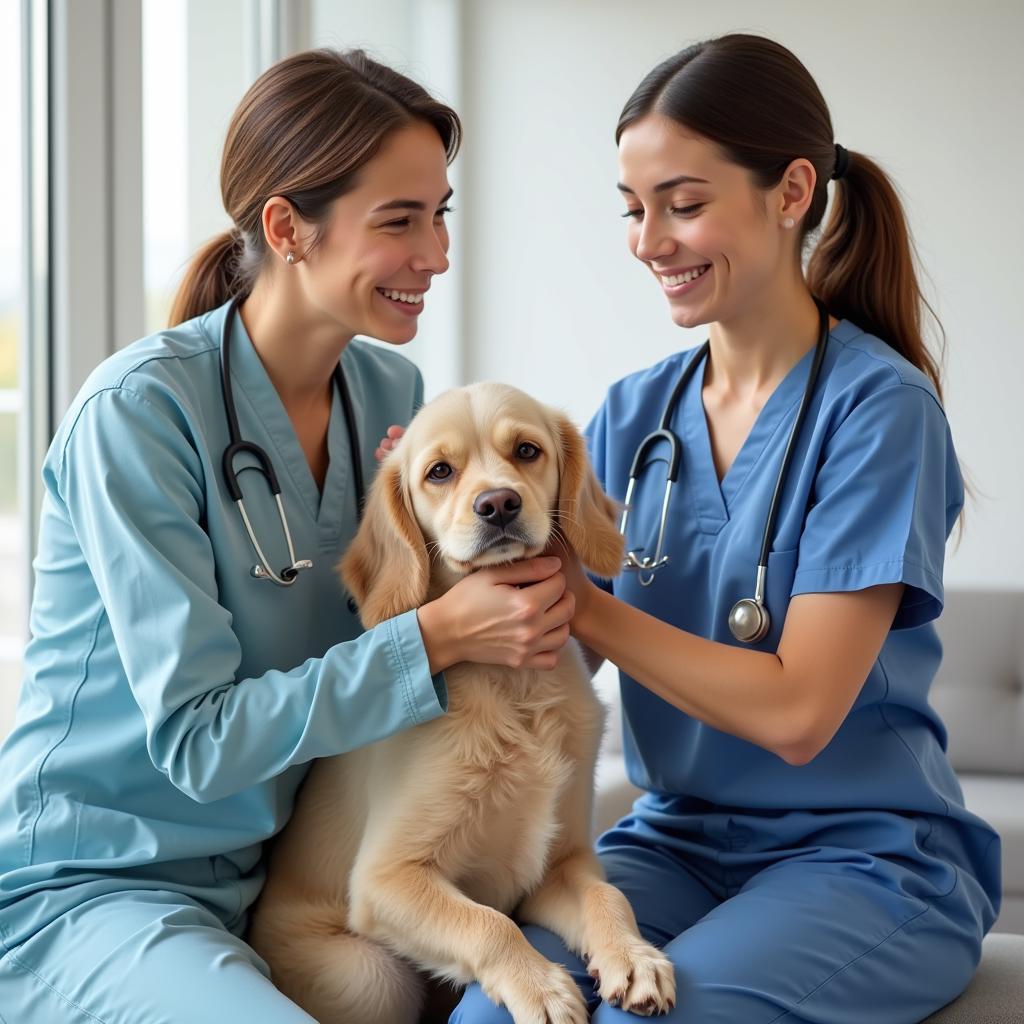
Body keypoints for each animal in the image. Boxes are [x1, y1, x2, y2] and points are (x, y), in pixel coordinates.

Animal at [247, 385, 675, 1024]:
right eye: (440, 472)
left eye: (527, 451)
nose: (497, 504)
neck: (514, 685)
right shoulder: (384, 880)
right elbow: (488, 924)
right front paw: (542, 987)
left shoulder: (562, 863)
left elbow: (607, 894)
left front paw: (633, 956)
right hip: (370, 974)